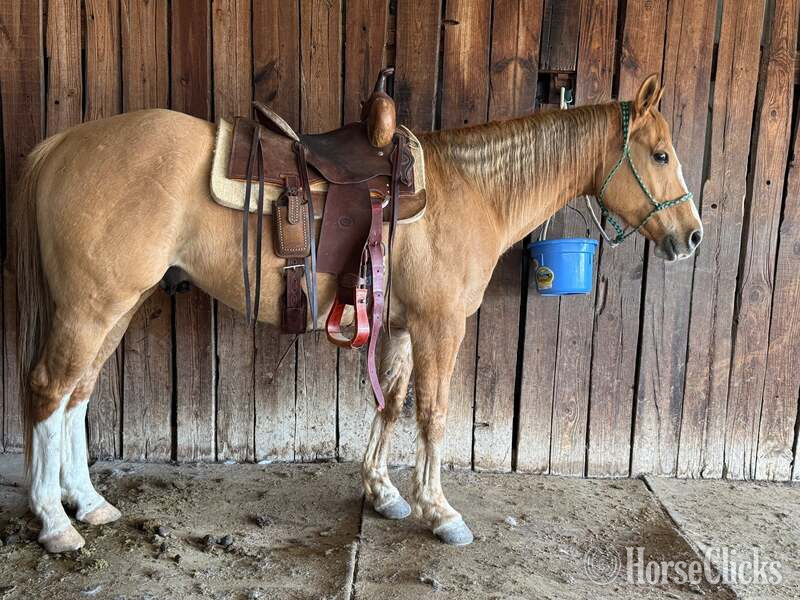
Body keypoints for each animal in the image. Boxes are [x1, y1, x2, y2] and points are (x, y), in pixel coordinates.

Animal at [14, 74, 702, 552]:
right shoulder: (439, 327)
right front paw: (440, 511)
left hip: (117, 308)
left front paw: (383, 492)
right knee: (49, 391)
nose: (692, 237)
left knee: (77, 394)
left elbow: (389, 404)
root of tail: (60, 145)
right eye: (661, 155)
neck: (472, 190)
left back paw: (88, 503)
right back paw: (54, 522)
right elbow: (432, 414)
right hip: (91, 307)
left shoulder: (398, 327)